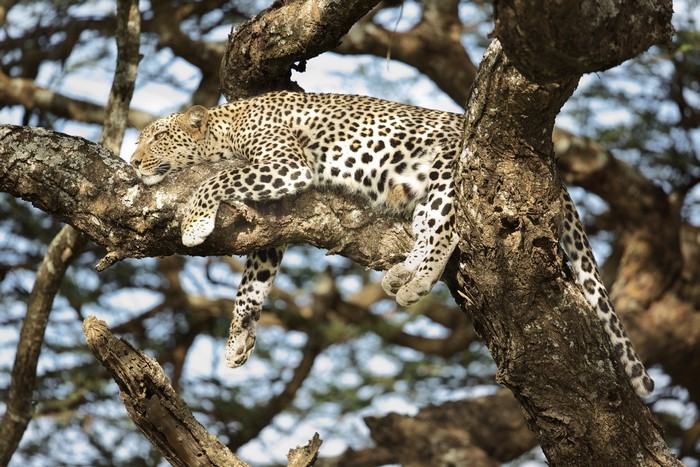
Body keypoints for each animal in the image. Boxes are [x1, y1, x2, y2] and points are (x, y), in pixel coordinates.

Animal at [130, 90, 654, 397]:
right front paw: (239, 337)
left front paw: (195, 222)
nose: (133, 162)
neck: (225, 128)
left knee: (446, 228)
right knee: (432, 227)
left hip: (446, 171)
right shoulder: (277, 216)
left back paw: (414, 280)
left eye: (156, 138)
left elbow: (214, 180)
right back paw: (405, 271)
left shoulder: (285, 164)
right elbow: (254, 280)